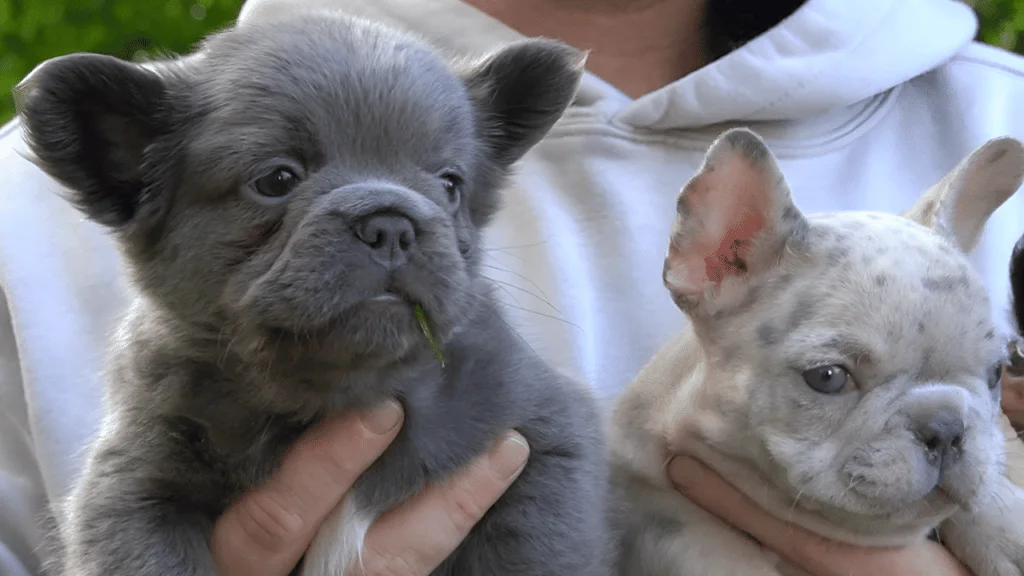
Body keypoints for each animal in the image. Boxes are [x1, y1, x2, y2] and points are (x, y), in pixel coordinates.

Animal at [14, 10, 606, 573]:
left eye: (450, 184)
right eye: (276, 179)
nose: (391, 225)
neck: (342, 393)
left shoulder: (547, 445)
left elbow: (530, 551)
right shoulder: (130, 492)